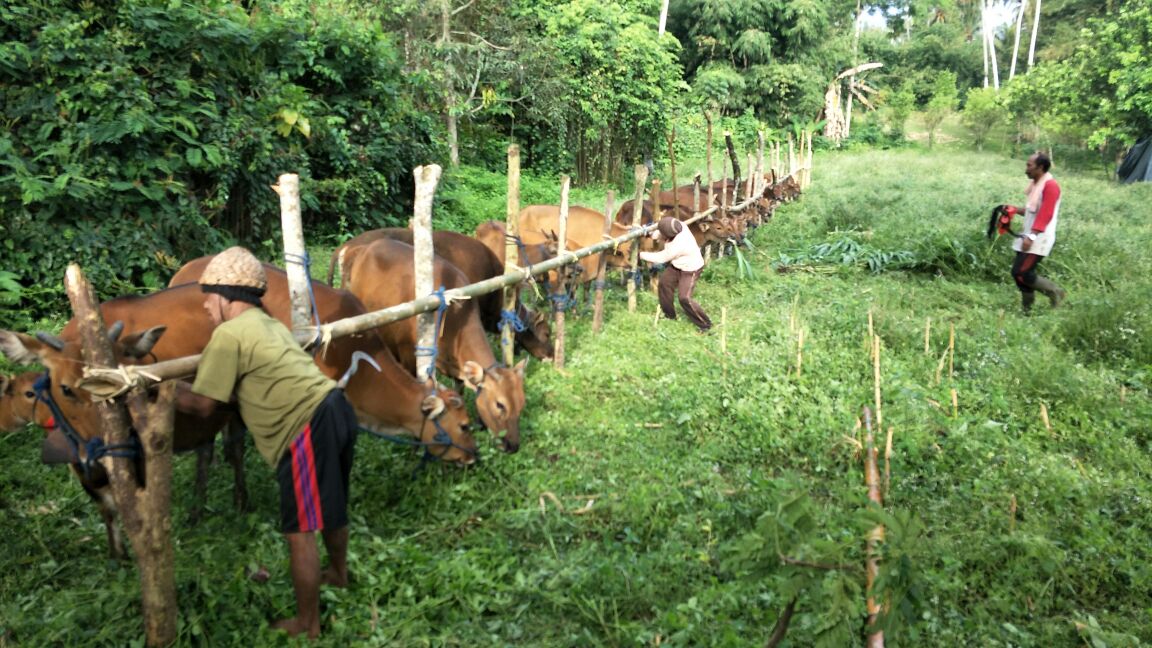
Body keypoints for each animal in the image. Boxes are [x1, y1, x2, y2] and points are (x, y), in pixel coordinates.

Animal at [336, 234, 527, 451]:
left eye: (521, 404)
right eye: (500, 404)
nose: (513, 445)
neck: (456, 320)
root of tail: (361, 250)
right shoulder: (410, 355)